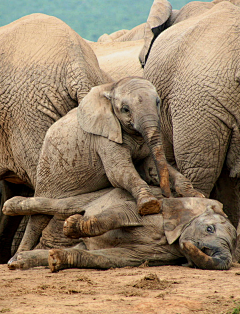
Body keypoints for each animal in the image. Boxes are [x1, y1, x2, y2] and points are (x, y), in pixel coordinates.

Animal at [2, 186, 237, 270]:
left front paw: (56, 260)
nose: (191, 245)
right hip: (100, 193)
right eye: (210, 229)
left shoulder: (163, 253)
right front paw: (71, 225)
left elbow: (115, 258)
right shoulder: (156, 207)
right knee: (64, 205)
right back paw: (10, 205)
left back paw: (17, 261)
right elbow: (122, 212)